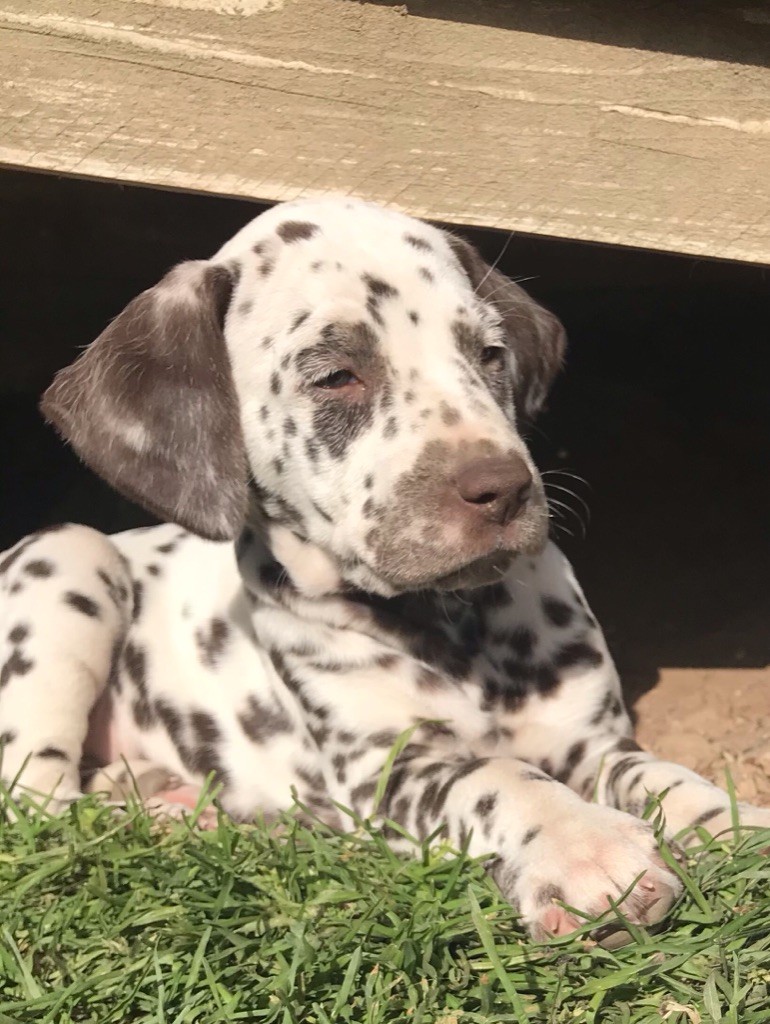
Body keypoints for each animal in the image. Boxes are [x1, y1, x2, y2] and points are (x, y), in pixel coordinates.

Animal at [1, 197, 768, 946]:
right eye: (338, 376)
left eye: (490, 355)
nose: (506, 488)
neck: (454, 629)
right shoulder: (386, 772)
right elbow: (498, 775)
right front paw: (582, 845)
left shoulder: (591, 741)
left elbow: (660, 775)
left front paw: (728, 821)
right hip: (71, 558)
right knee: (41, 806)